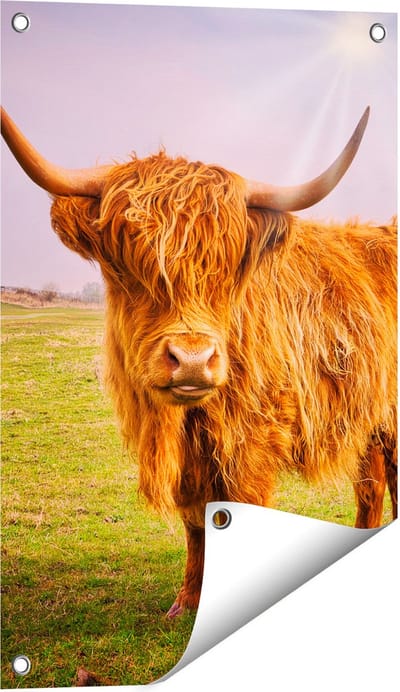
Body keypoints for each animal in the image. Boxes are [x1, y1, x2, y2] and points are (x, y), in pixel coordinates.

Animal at [1, 106, 397, 617]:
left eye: (228, 268)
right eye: (129, 265)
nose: (192, 360)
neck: (187, 421)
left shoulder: (253, 440)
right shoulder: (191, 461)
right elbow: (196, 522)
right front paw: (188, 600)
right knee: (371, 485)